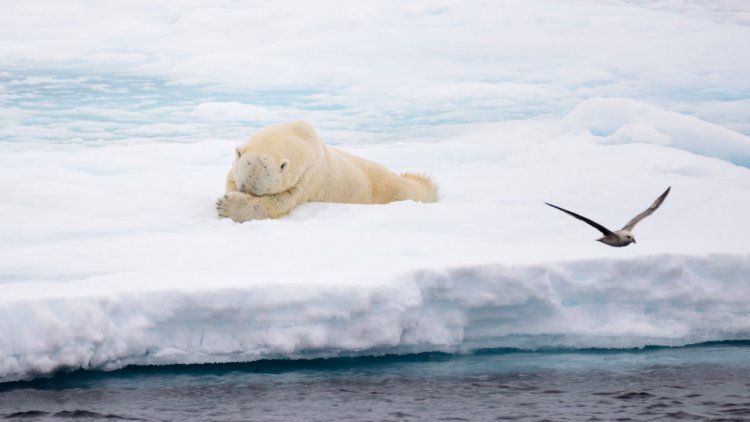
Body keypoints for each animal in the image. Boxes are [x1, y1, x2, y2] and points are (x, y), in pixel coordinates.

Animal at [216, 121, 440, 223]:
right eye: (243, 186)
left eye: (259, 193)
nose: (243, 193)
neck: (298, 133)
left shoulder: (306, 178)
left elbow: (279, 203)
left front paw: (227, 205)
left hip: (387, 189)